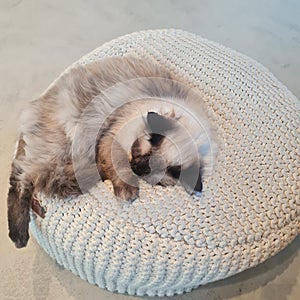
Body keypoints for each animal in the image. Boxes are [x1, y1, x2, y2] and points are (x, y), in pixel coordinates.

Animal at [7, 55, 216, 247]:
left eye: (147, 172)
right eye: (140, 154)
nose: (135, 167)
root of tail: (37, 102)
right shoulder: (113, 138)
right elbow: (120, 167)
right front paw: (127, 192)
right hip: (64, 147)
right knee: (24, 178)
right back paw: (19, 236)